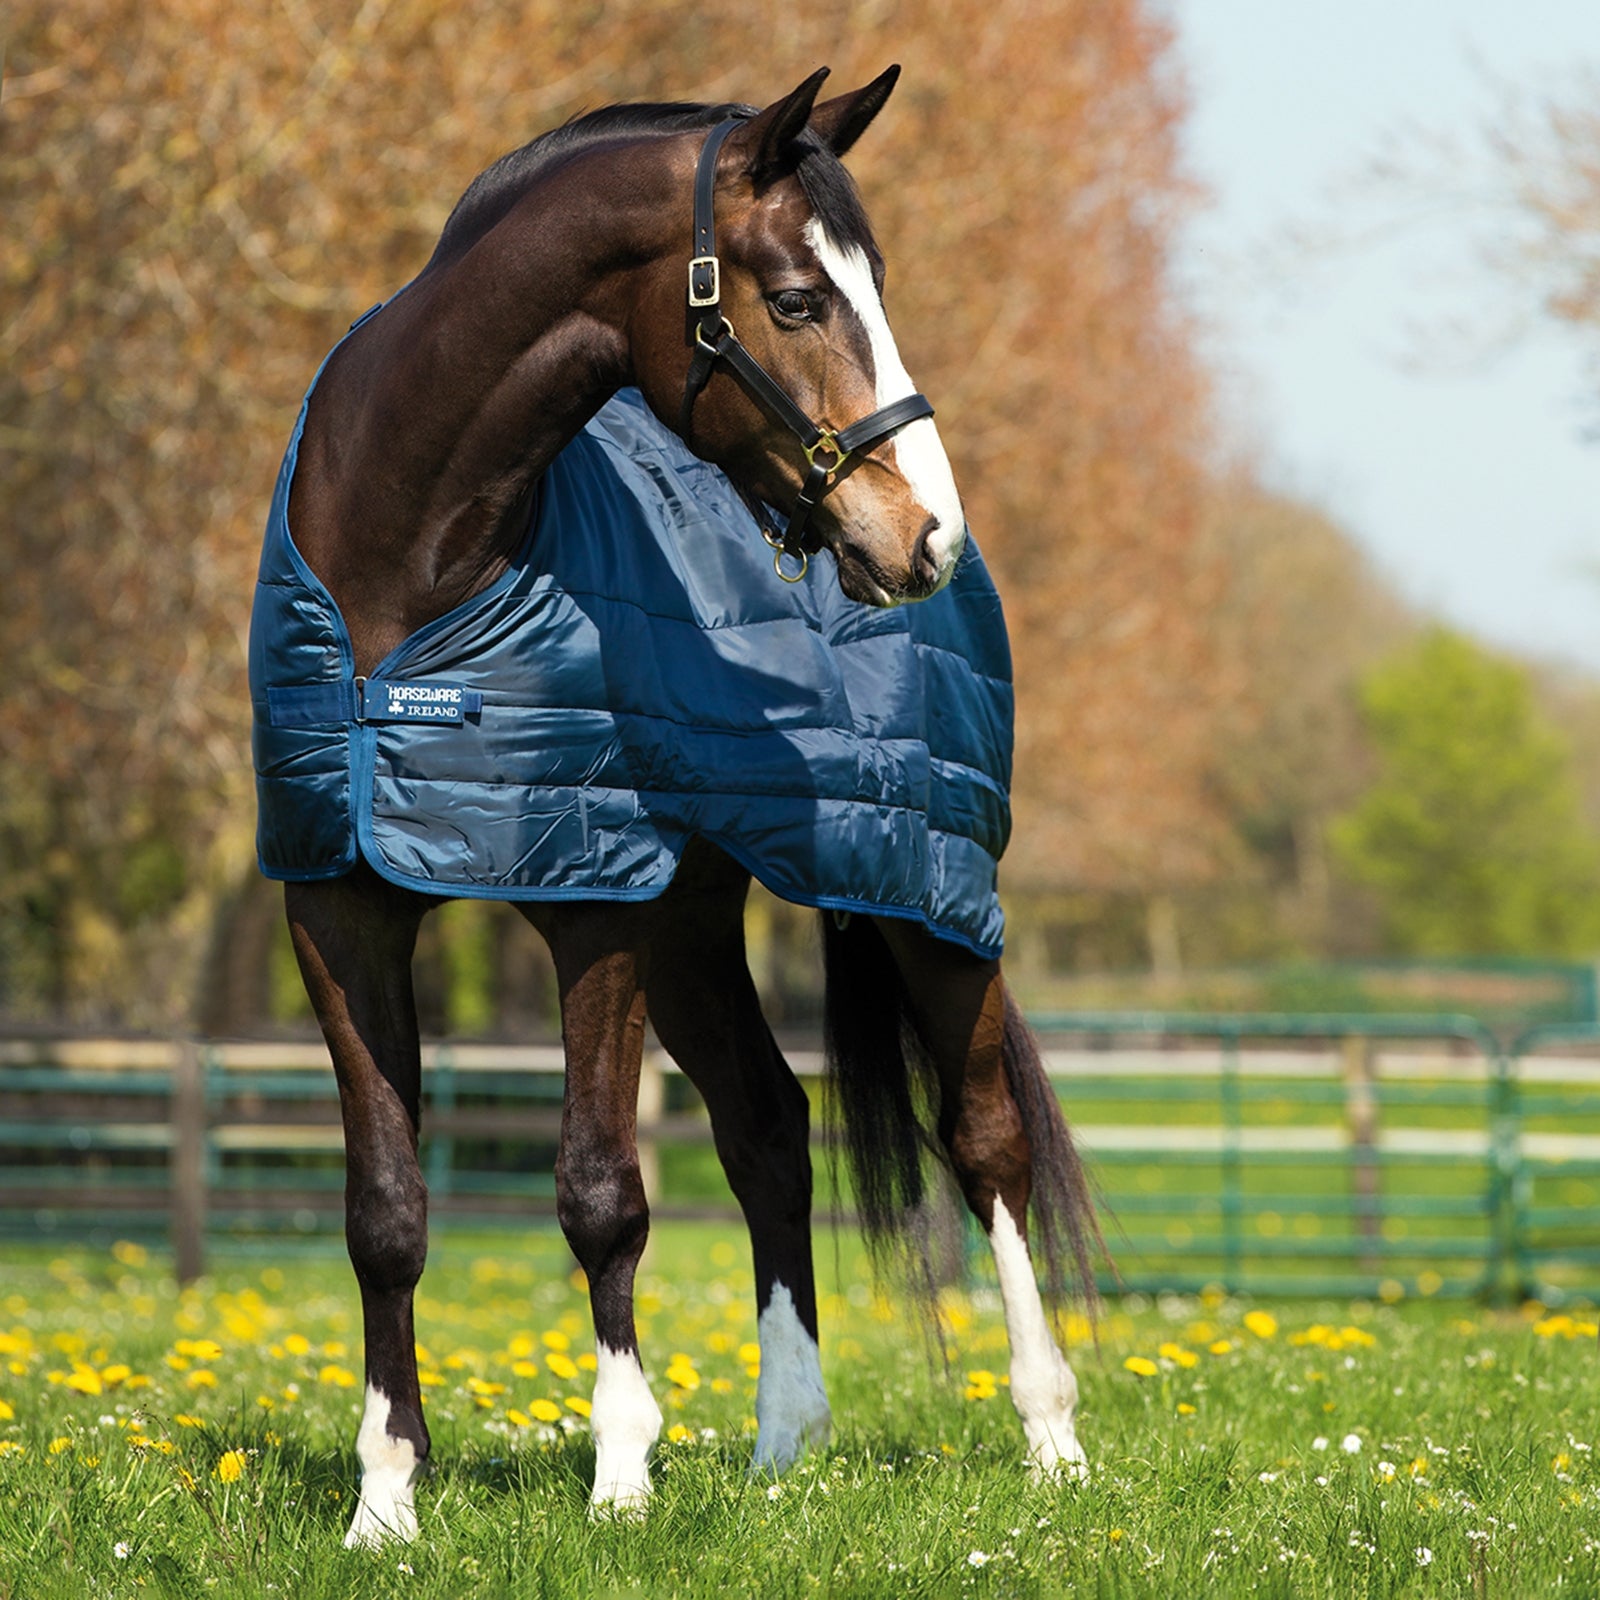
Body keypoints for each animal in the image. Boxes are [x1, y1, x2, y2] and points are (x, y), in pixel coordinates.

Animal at [259, 67, 1101, 1548]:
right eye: (800, 300)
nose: (925, 535)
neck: (408, 570)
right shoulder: (340, 903)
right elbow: (385, 1208)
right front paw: (386, 1502)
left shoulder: (591, 901)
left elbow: (601, 1190)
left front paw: (621, 1481)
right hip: (698, 928)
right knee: (769, 1131)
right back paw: (785, 1446)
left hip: (923, 888)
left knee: (985, 1140)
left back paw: (1049, 1438)